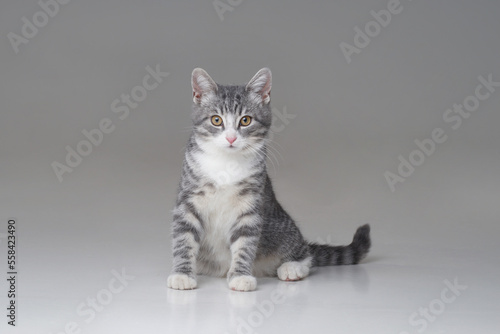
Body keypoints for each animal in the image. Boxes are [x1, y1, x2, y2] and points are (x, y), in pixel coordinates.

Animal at [168, 68, 372, 292]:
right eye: (216, 120)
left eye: (245, 120)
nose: (231, 138)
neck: (227, 163)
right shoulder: (188, 200)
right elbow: (183, 239)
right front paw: (182, 274)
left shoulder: (250, 206)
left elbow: (245, 243)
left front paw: (240, 276)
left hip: (282, 228)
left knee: (305, 253)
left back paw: (293, 267)